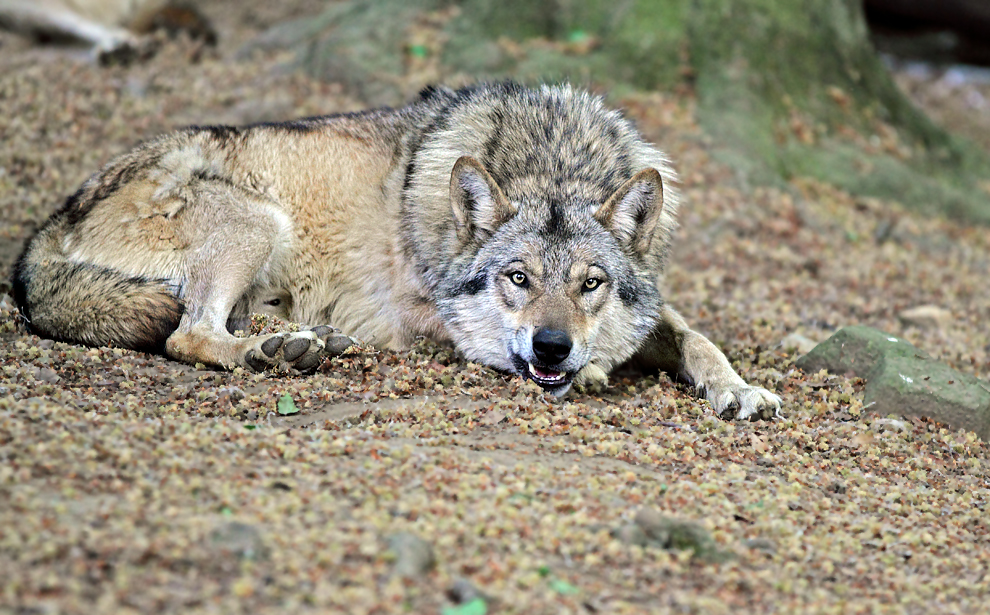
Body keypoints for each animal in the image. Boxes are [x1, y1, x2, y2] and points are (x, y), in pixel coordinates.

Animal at [9, 80, 784, 418]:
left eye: (590, 283)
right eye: (517, 278)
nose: (553, 345)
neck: (552, 159)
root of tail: (45, 231)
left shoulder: (658, 309)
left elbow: (696, 337)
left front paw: (738, 387)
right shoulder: (408, 314)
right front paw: (592, 370)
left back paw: (288, 339)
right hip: (257, 221)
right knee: (188, 333)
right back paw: (273, 352)